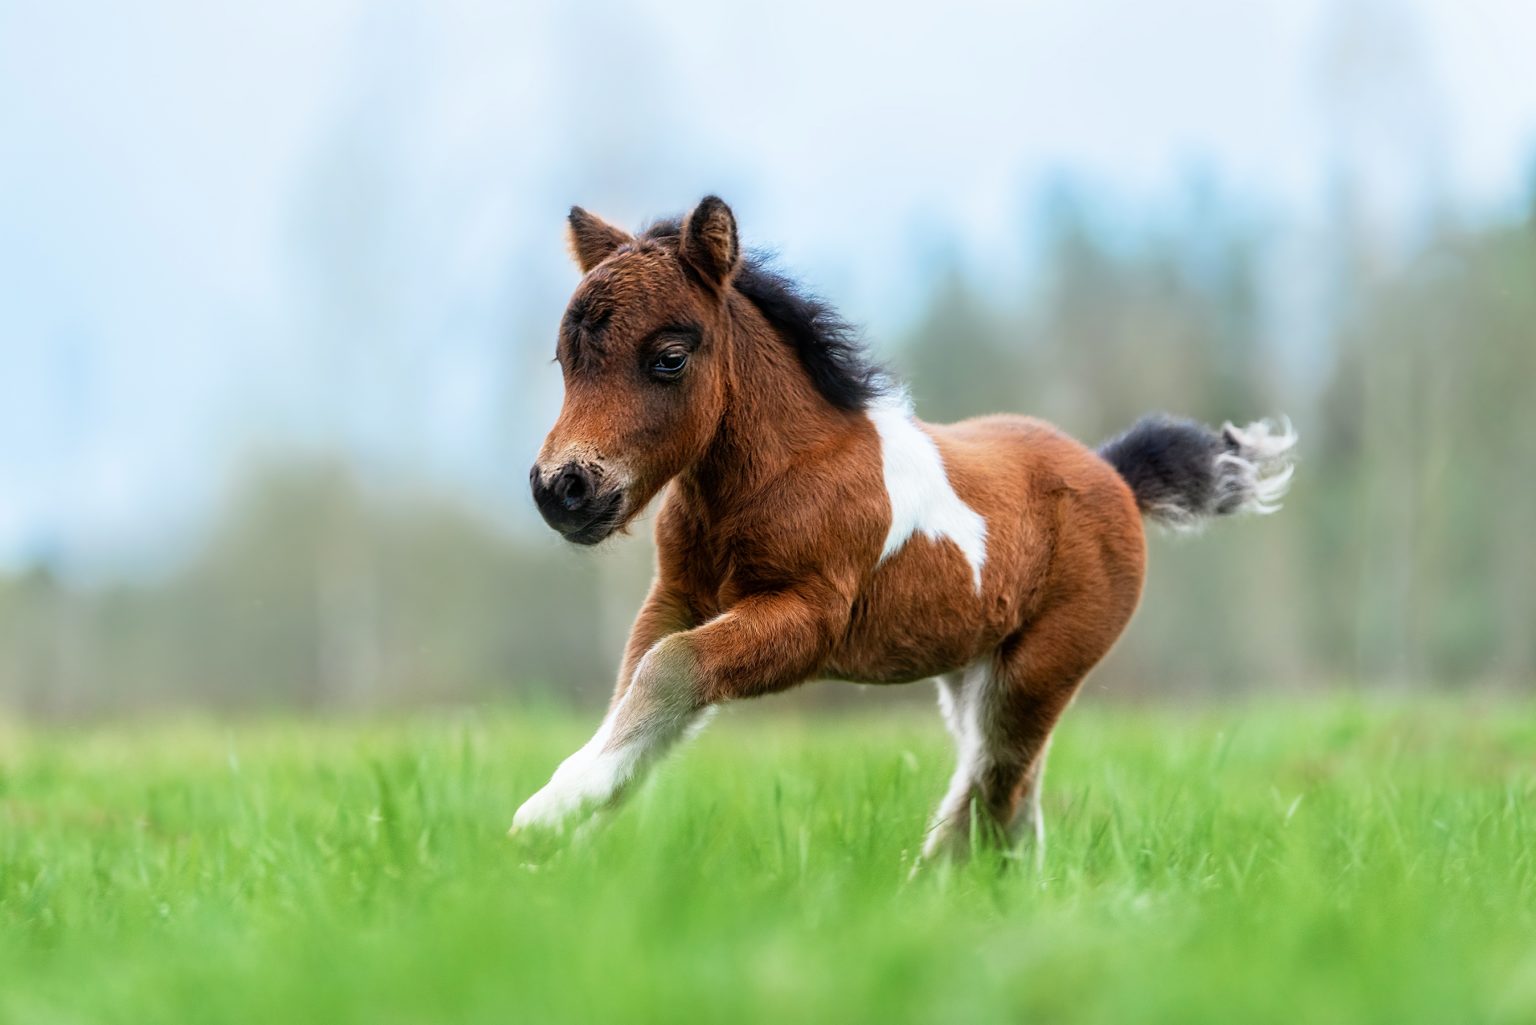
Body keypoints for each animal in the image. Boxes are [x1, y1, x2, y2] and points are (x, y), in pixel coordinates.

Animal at [512, 196, 1296, 862]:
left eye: (669, 358)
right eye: (565, 357)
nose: (563, 489)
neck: (775, 475)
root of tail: (1115, 476)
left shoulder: (810, 616)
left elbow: (669, 668)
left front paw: (551, 811)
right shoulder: (677, 597)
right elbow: (642, 684)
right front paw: (577, 823)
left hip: (1042, 666)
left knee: (997, 786)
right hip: (975, 670)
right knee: (1014, 796)